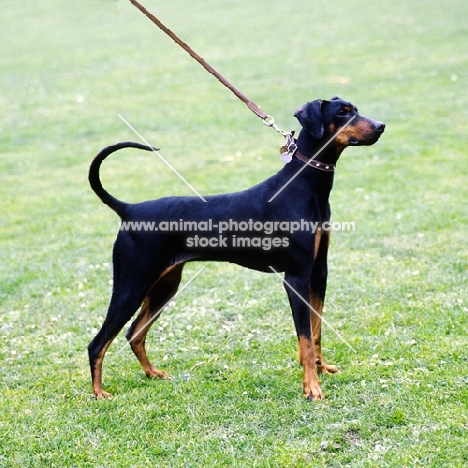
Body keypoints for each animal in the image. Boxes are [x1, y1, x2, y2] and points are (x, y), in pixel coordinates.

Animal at [87, 97, 384, 400]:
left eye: (355, 110)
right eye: (342, 113)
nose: (381, 126)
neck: (303, 187)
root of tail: (129, 210)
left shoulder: (318, 273)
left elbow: (316, 331)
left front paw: (320, 369)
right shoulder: (296, 278)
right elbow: (305, 337)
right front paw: (312, 387)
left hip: (164, 286)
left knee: (135, 333)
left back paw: (152, 373)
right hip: (131, 286)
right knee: (98, 343)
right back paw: (99, 392)